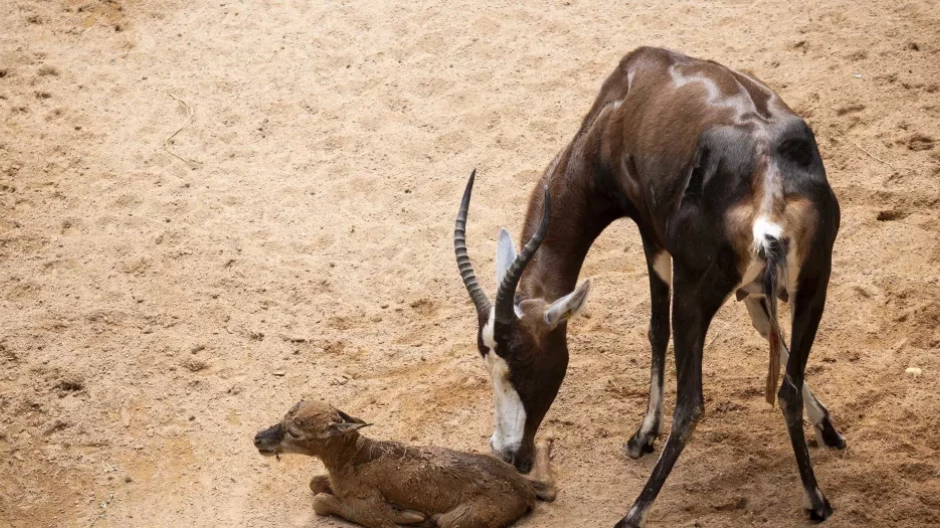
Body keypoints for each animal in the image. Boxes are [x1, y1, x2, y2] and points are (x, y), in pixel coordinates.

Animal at [454, 46, 845, 526]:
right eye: (486, 356)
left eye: (525, 361)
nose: (508, 452)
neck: (626, 96)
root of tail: (768, 183)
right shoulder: (758, 287)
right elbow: (766, 330)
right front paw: (827, 427)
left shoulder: (650, 233)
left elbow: (656, 329)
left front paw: (642, 436)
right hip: (814, 285)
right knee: (786, 387)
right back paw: (816, 499)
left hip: (694, 295)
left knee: (691, 403)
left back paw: (633, 512)